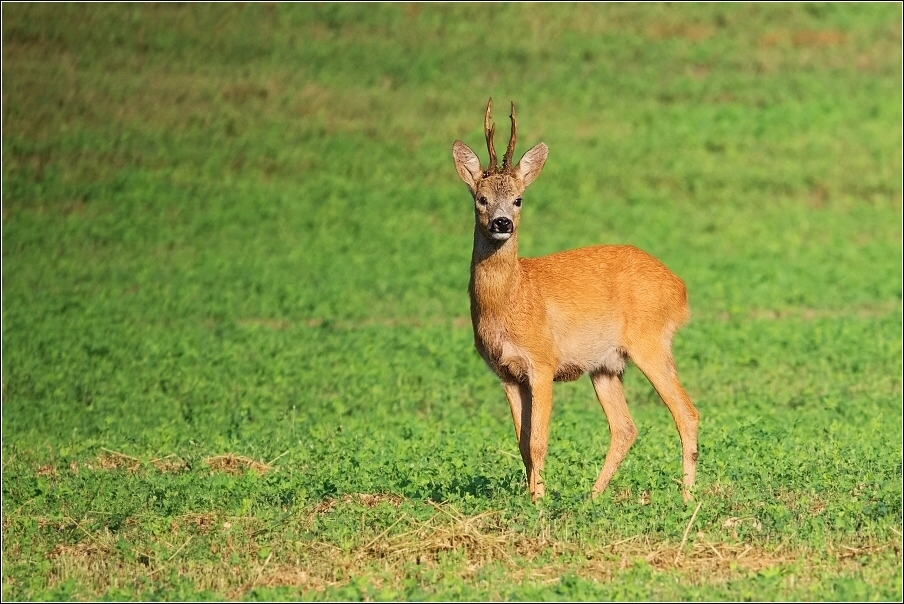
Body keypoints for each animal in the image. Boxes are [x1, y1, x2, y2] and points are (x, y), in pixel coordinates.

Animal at [452, 99, 700, 502]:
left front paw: (538, 502)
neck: (513, 298)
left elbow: (538, 440)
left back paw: (687, 497)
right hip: (606, 365)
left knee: (686, 412)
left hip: (650, 341)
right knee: (625, 427)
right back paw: (593, 497)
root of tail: (679, 288)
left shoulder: (542, 361)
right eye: (481, 198)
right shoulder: (506, 372)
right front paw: (532, 496)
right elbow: (522, 443)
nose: (502, 223)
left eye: (519, 199)